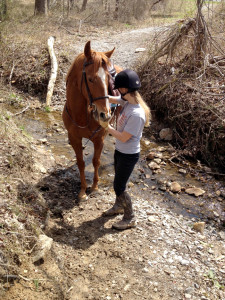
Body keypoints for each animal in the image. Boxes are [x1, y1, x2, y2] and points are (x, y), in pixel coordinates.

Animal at [62, 39, 120, 199]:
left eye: (108, 79)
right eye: (90, 79)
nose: (105, 115)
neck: (82, 116)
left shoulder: (98, 139)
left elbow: (96, 161)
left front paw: (94, 187)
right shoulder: (74, 138)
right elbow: (81, 162)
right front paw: (82, 190)